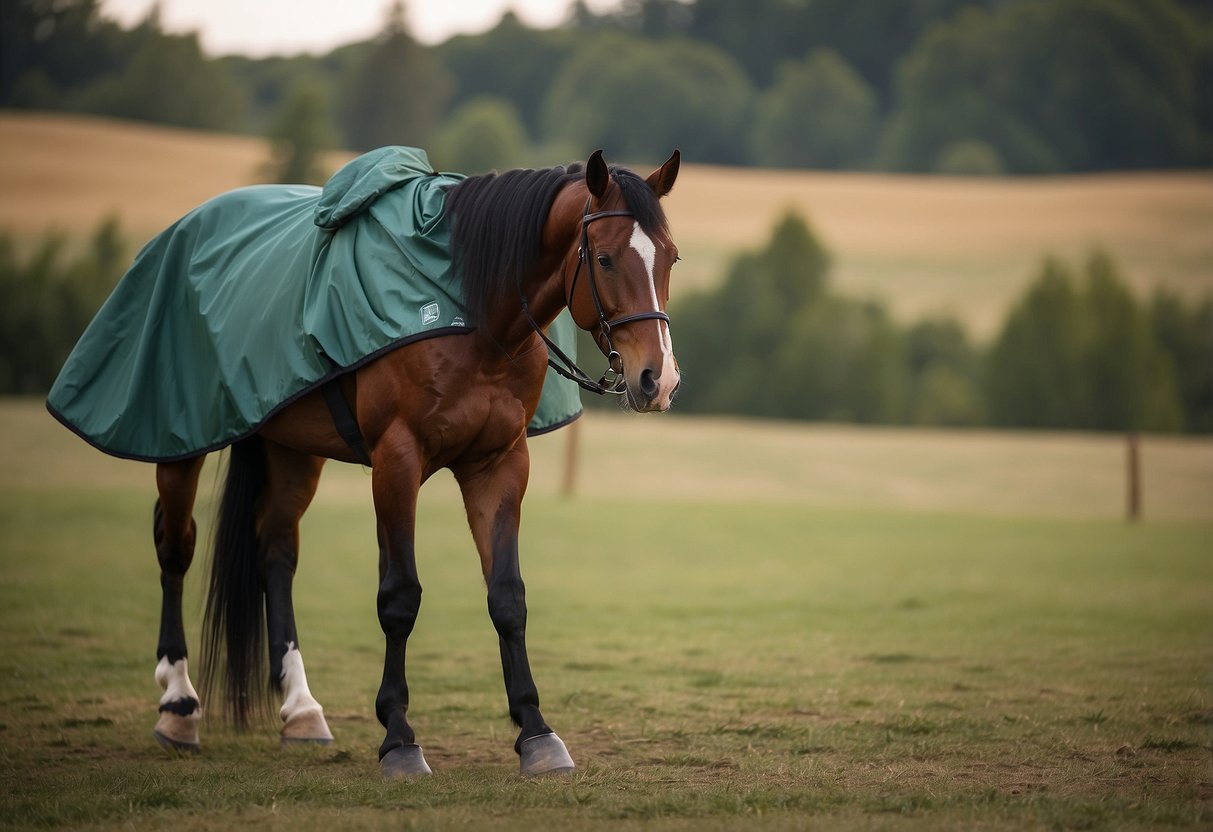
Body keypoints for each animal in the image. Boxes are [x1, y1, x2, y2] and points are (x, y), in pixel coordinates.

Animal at [146, 151, 679, 781]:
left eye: (671, 257)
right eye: (604, 258)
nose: (658, 379)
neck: (474, 313)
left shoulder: (499, 464)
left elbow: (507, 597)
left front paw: (535, 731)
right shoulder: (396, 460)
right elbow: (399, 598)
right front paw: (399, 737)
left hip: (288, 448)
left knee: (274, 552)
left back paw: (301, 710)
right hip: (180, 443)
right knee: (175, 545)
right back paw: (178, 705)